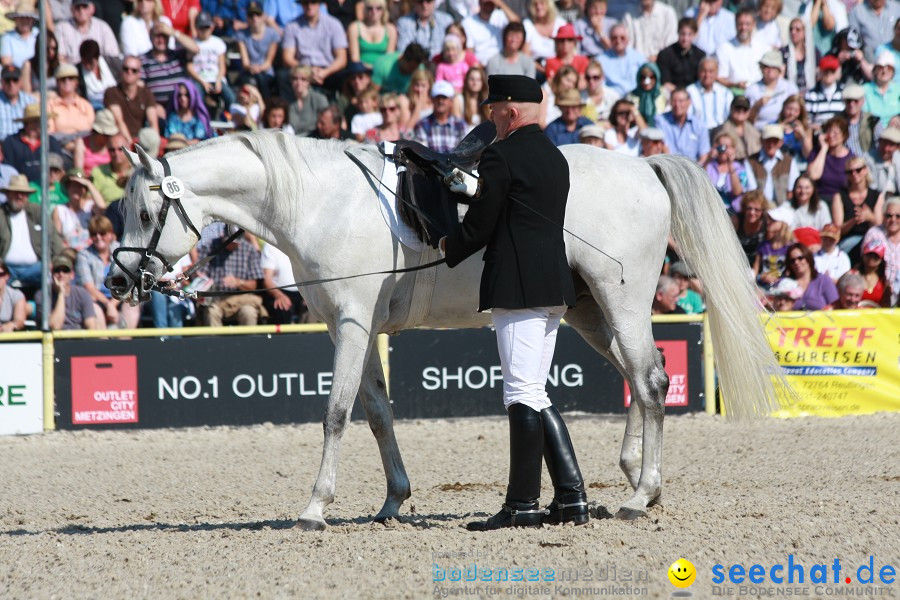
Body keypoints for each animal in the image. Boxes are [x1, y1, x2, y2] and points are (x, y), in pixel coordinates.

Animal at [109, 131, 792, 528]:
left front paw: (315, 507)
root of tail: (644, 168)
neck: (318, 199)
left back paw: (638, 493)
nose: (119, 282)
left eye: (143, 210)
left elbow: (335, 413)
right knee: (639, 377)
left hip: (619, 301)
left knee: (649, 380)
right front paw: (392, 501)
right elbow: (378, 413)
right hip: (587, 312)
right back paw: (634, 480)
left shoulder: (352, 323)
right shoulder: (352, 328)